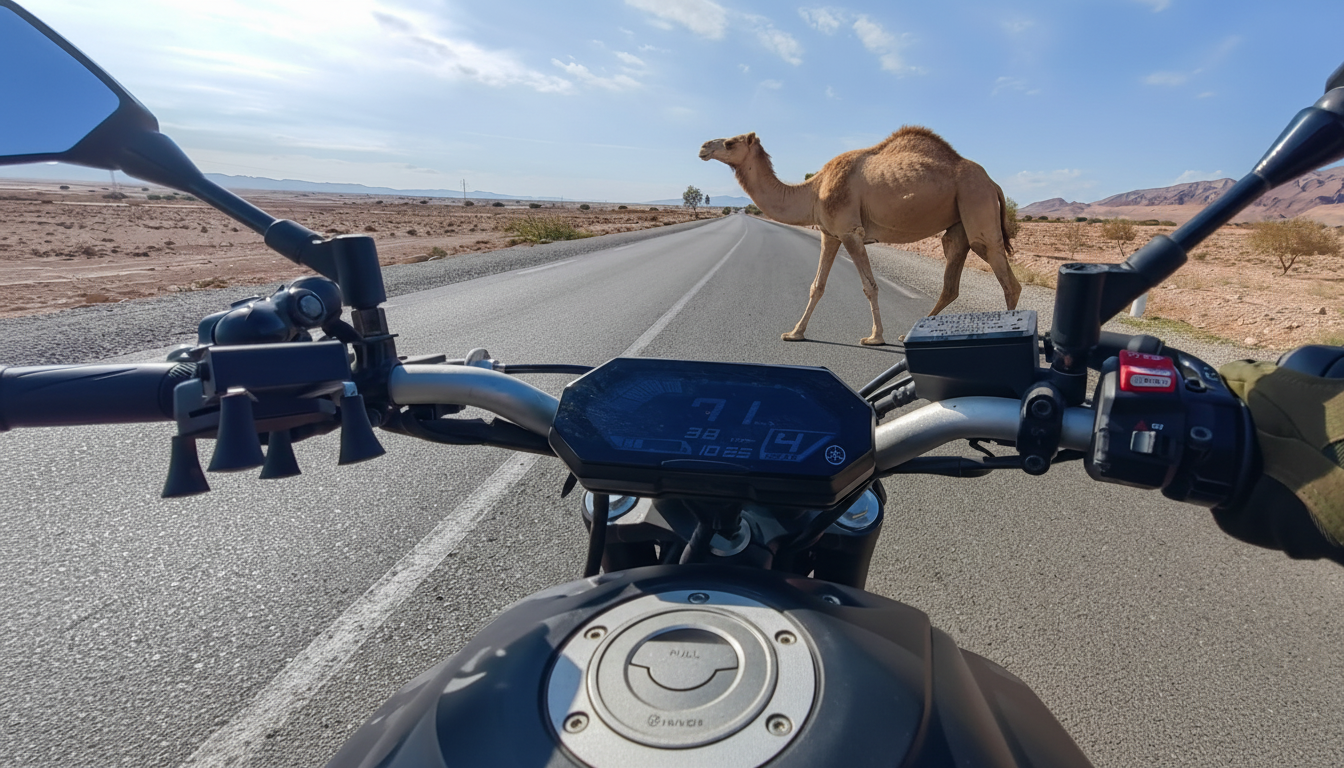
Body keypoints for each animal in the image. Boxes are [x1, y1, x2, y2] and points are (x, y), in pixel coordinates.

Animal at [699, 127, 1020, 345]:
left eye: (729, 142)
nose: (702, 147)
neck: (813, 190)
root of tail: (993, 183)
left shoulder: (850, 232)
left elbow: (869, 286)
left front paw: (875, 337)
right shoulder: (830, 234)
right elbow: (817, 286)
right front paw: (794, 332)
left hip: (976, 202)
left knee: (1008, 281)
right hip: (958, 225)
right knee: (951, 279)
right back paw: (911, 334)